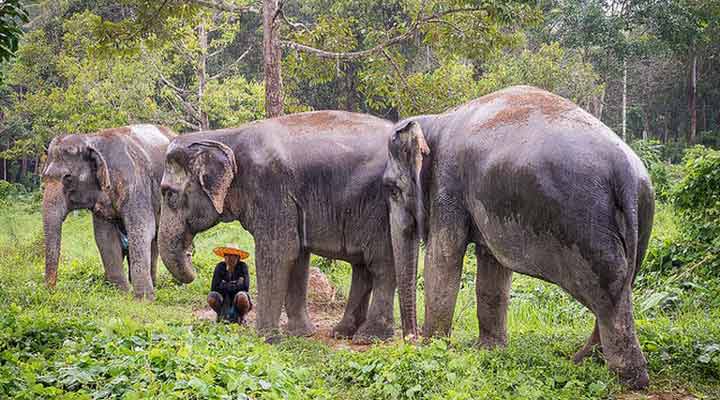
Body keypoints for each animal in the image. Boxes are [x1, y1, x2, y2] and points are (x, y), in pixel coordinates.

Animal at [41, 125, 174, 300]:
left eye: (68, 177)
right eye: (44, 177)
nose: (51, 291)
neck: (91, 139)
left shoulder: (135, 183)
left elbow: (141, 229)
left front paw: (144, 299)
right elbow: (105, 236)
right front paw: (122, 293)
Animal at [158, 111, 402, 342]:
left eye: (169, 194)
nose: (191, 256)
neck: (224, 136)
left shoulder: (270, 189)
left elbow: (278, 253)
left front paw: (266, 338)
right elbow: (298, 258)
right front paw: (300, 334)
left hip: (383, 210)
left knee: (381, 264)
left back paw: (369, 337)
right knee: (361, 267)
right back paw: (343, 333)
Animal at [386, 86, 656, 390]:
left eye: (391, 189)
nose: (410, 340)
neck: (434, 120)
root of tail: (625, 170)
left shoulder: (448, 185)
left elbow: (442, 259)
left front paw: (433, 349)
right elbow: (492, 266)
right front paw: (488, 350)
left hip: (587, 223)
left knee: (609, 291)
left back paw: (627, 378)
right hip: (642, 214)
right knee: (623, 285)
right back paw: (585, 359)